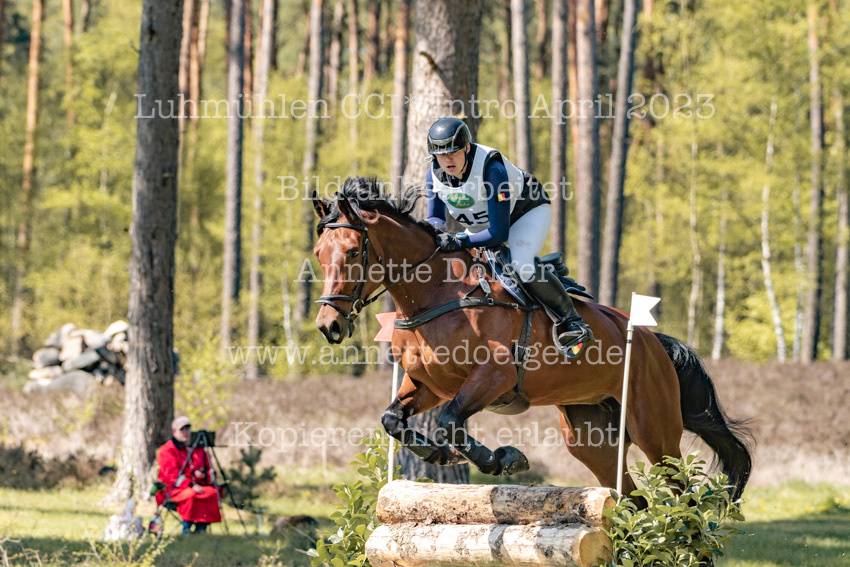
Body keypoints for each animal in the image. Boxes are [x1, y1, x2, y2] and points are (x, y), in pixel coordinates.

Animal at [312, 177, 752, 501]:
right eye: (318, 253)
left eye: (352, 252)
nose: (328, 325)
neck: (439, 294)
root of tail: (652, 341)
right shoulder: (429, 385)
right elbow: (393, 419)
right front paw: (437, 453)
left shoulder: (494, 378)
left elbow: (452, 421)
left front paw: (504, 460)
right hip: (591, 438)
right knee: (634, 499)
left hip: (654, 432)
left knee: (683, 498)